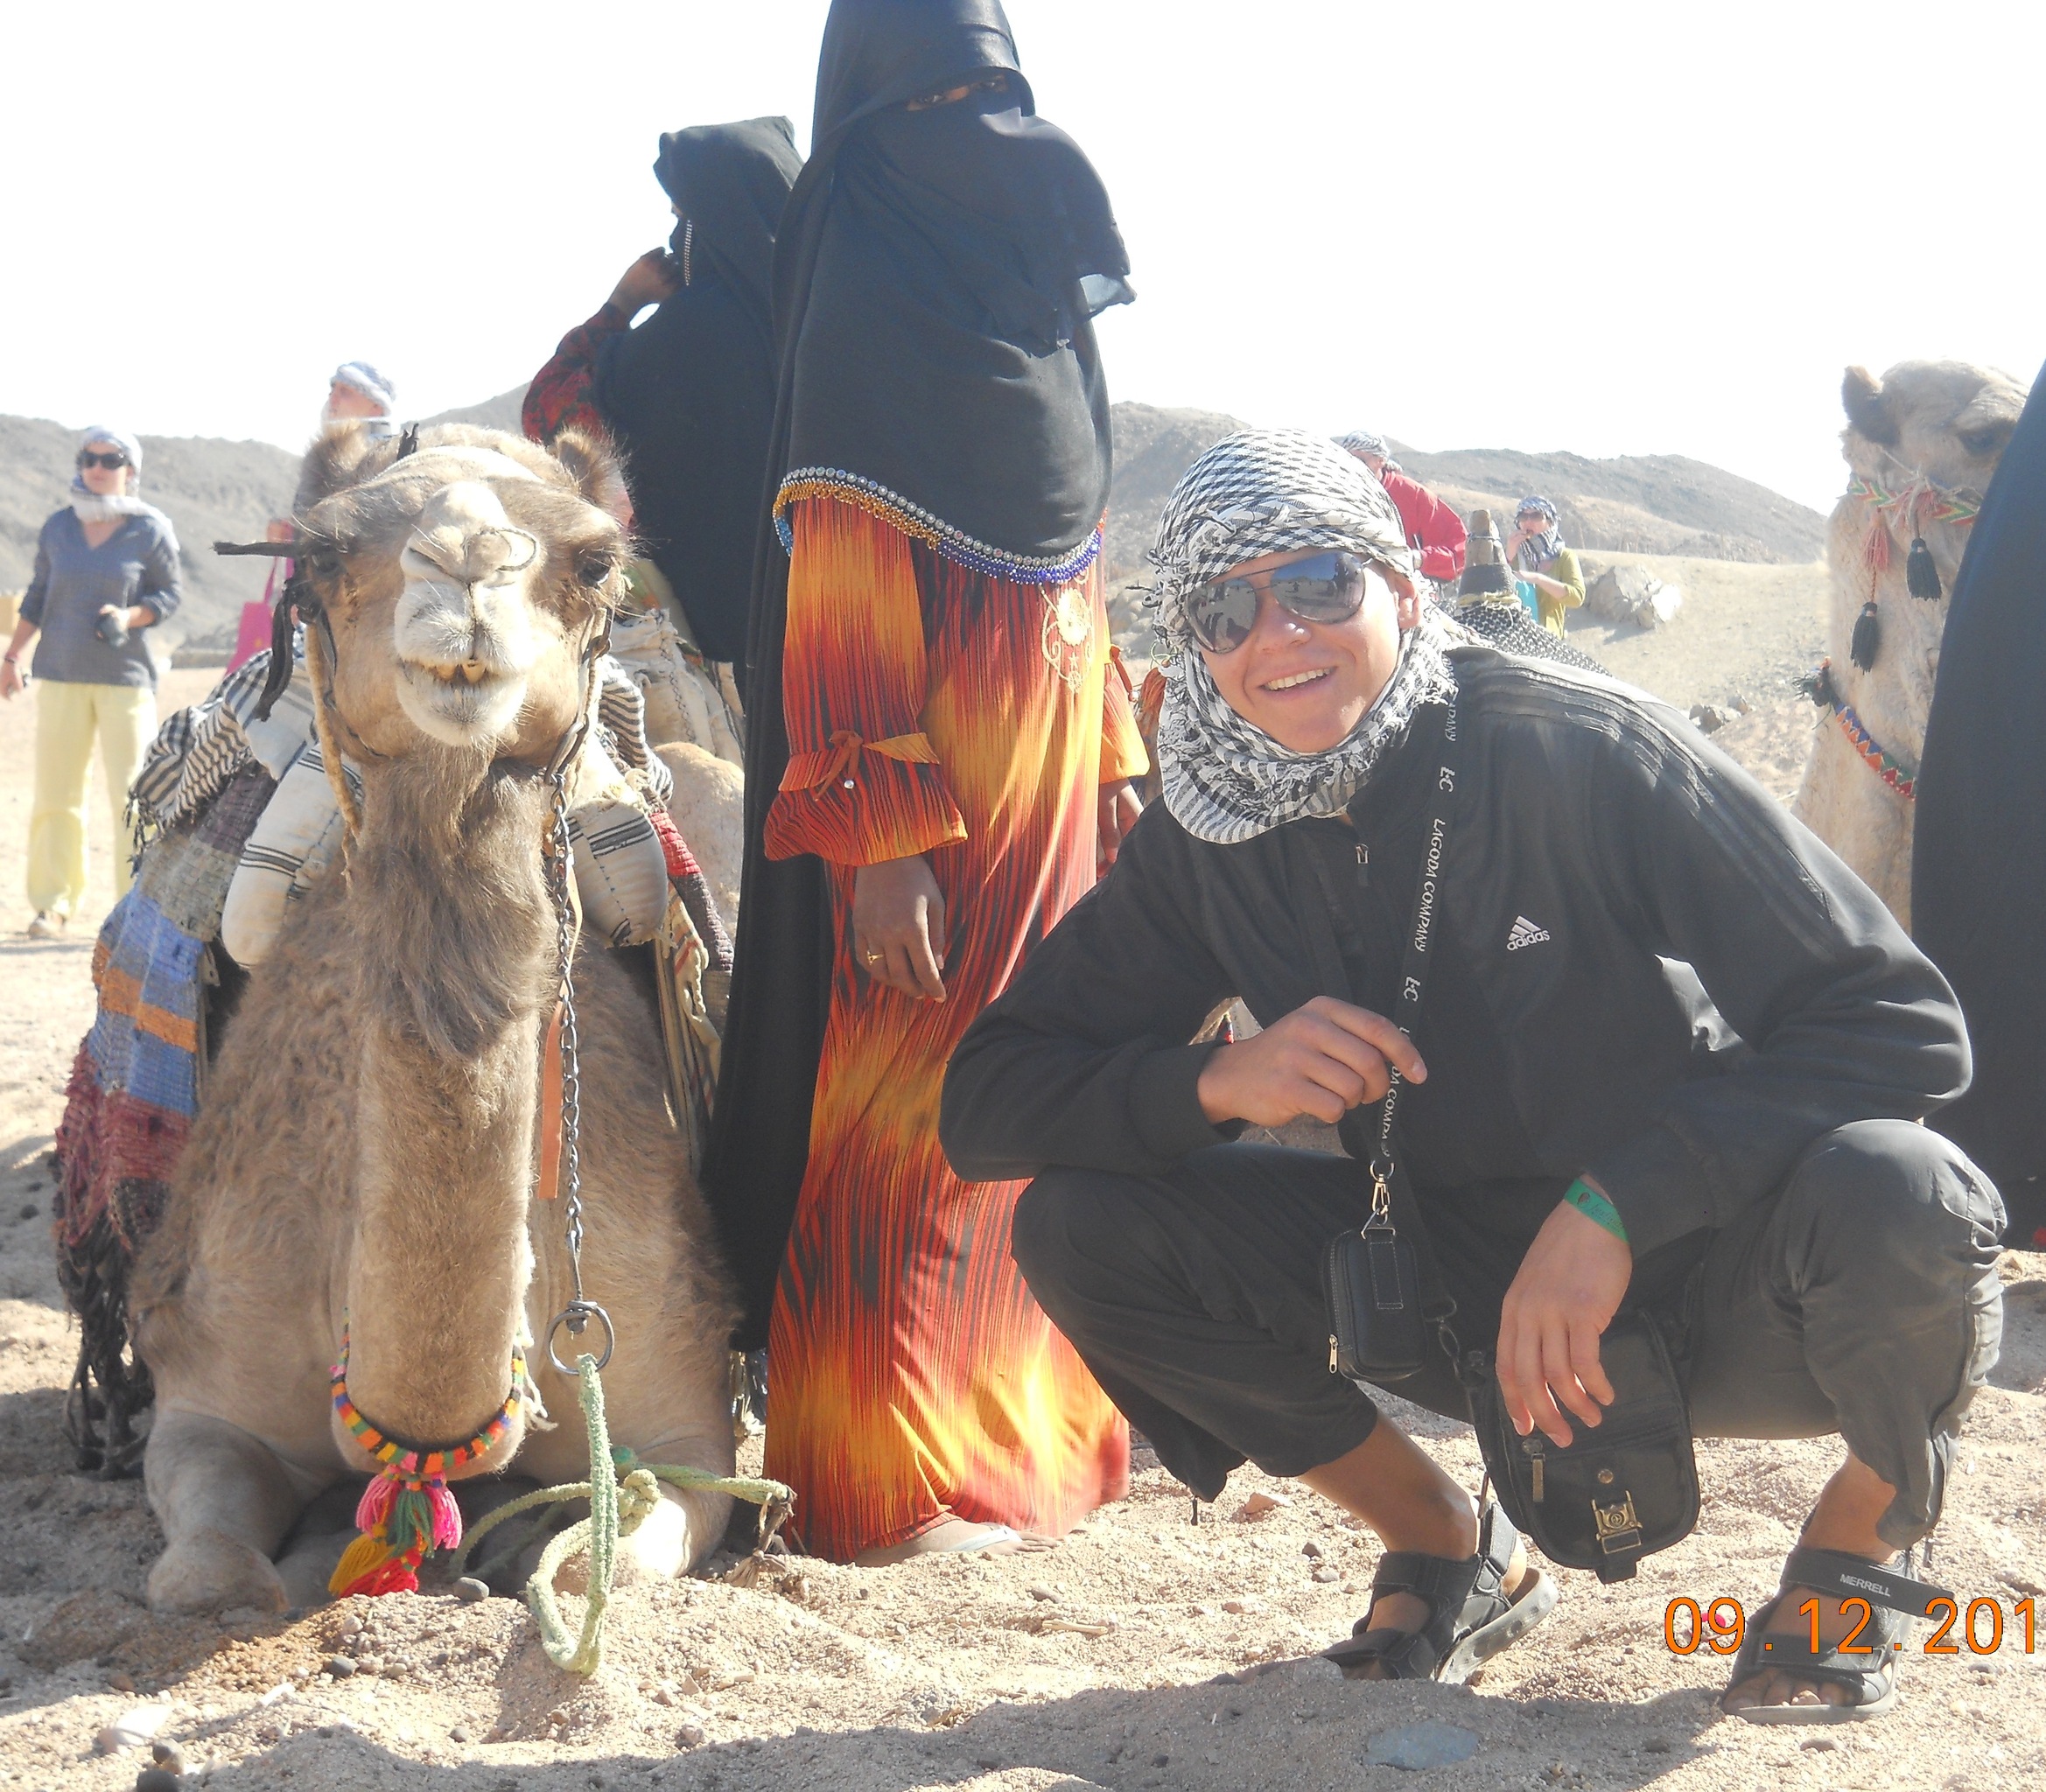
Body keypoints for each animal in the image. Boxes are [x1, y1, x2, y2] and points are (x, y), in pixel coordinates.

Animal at [130, 421, 739, 1615]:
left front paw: (518, 1551)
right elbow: (211, 1576)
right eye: (319, 555)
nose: (464, 566)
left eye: (594, 560)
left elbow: (608, 1553)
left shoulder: (682, 1414)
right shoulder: (204, 1386)